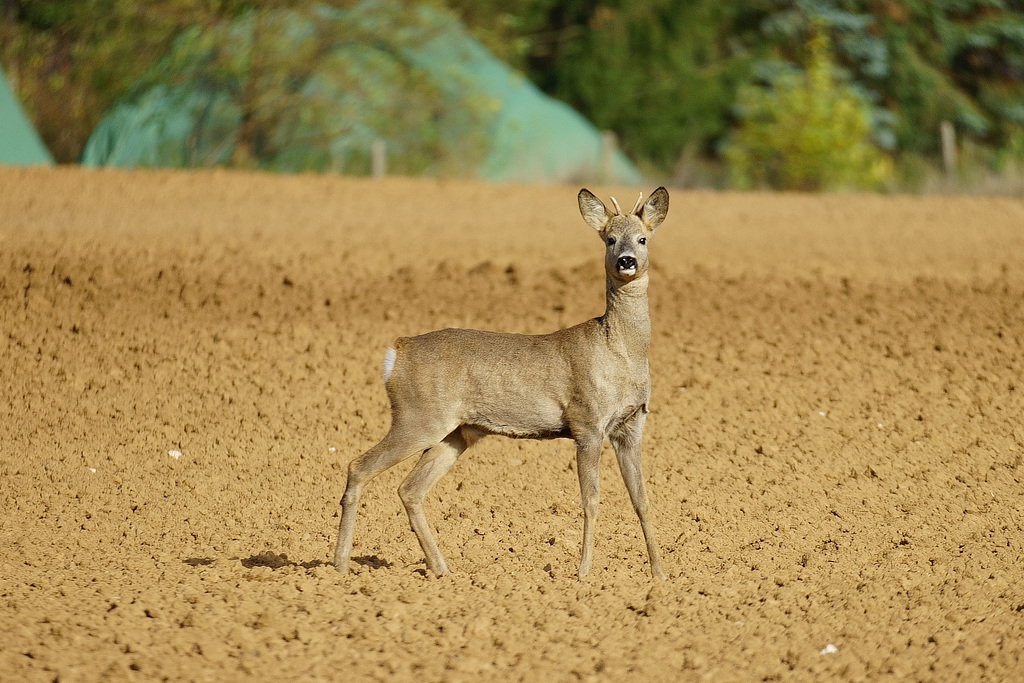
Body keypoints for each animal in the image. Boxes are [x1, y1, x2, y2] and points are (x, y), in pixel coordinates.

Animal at [335, 188, 671, 581]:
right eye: (610, 238)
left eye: (643, 238)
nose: (626, 261)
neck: (620, 352)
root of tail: (397, 352)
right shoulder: (587, 422)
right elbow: (590, 500)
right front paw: (584, 573)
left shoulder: (631, 426)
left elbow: (642, 499)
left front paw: (660, 573)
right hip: (418, 418)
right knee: (358, 466)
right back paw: (340, 564)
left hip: (455, 432)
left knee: (409, 489)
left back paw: (441, 569)